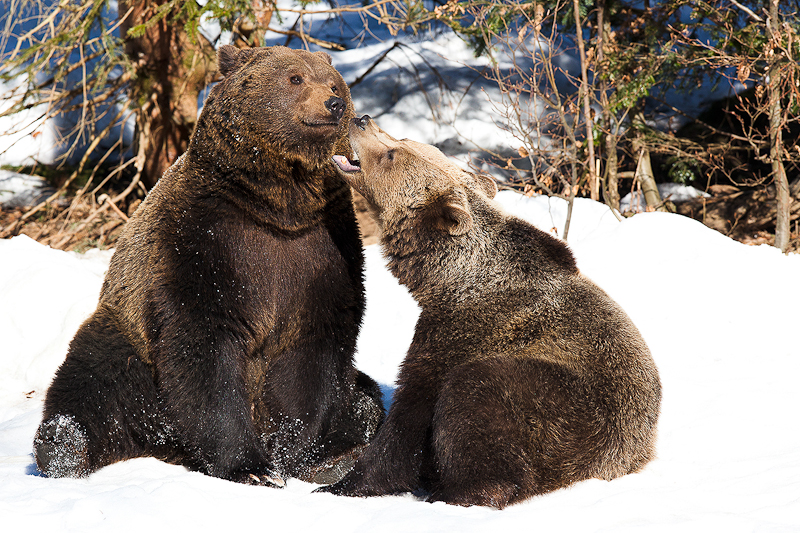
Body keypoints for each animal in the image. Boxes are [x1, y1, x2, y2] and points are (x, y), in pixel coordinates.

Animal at [320, 115, 664, 508]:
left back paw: (455, 491)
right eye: (401, 139)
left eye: (393, 153)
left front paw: (344, 485)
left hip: (572, 409)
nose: (361, 120)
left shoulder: (462, 331)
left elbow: (412, 414)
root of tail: (628, 458)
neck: (449, 279)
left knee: (478, 394)